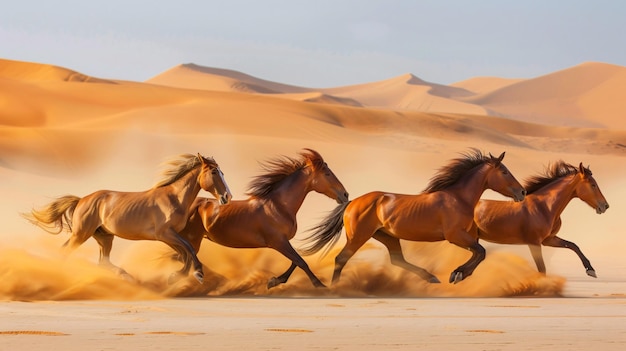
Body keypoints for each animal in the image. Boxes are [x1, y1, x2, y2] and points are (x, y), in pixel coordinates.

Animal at [22, 153, 233, 284]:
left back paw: (127, 277)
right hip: (81, 234)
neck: (174, 197)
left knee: (103, 261)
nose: (227, 197)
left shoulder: (167, 237)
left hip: (105, 237)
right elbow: (188, 249)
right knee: (65, 252)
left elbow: (185, 253)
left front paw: (175, 276)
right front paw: (197, 274)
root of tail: (82, 199)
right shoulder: (165, 234)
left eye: (222, 172)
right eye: (214, 172)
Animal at [178, 148, 348, 288]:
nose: (345, 195)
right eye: (327, 174)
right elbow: (301, 261)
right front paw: (320, 286)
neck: (279, 206)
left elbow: (295, 261)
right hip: (192, 239)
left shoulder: (284, 241)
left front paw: (274, 281)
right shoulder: (278, 242)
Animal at [300, 149, 524, 286]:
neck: (458, 198)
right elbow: (481, 252)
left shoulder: (467, 237)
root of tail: (352, 202)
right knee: (341, 258)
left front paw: (458, 273)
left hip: (387, 236)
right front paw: (458, 274)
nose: (522, 192)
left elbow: (479, 253)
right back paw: (335, 288)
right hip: (359, 236)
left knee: (397, 260)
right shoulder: (455, 236)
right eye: (505, 172)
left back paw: (431, 277)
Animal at [470, 162, 608, 278]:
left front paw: (590, 270)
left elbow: (573, 245)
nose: (605, 206)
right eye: (593, 185)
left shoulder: (548, 240)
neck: (545, 207)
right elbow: (542, 269)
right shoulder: (534, 243)